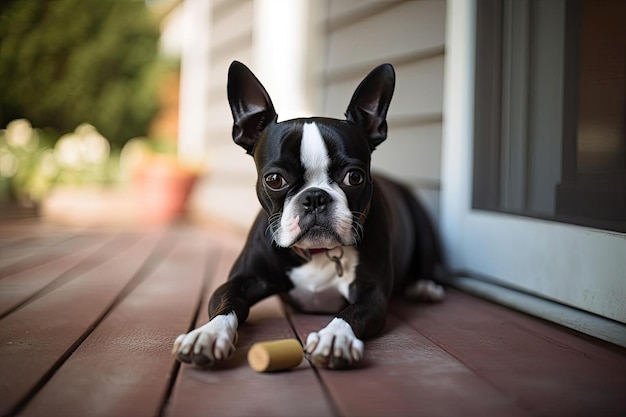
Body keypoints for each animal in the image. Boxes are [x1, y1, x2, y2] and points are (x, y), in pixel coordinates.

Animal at [171, 61, 444, 368]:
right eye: (274, 179)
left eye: (354, 177)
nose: (315, 197)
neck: (317, 253)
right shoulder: (240, 282)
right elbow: (224, 305)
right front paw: (207, 334)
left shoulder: (371, 296)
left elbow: (349, 314)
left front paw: (335, 337)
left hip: (422, 222)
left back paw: (425, 286)